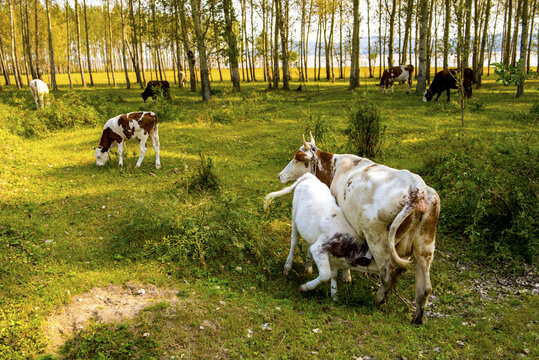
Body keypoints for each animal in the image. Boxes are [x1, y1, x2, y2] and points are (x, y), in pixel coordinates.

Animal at [278, 134, 442, 324]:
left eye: (296, 158)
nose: (280, 175)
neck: (334, 168)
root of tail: (417, 187)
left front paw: (345, 276)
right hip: (425, 245)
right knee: (425, 287)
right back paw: (417, 318)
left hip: (378, 240)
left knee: (388, 273)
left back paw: (378, 300)